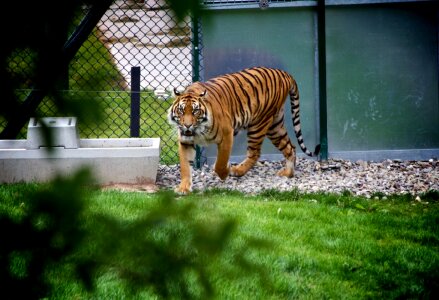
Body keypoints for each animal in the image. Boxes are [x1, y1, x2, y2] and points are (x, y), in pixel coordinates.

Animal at [168, 66, 320, 195]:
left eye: (195, 111)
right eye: (181, 111)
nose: (187, 125)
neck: (198, 130)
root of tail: (284, 73)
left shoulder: (227, 134)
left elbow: (220, 163)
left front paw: (226, 171)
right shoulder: (185, 141)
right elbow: (185, 166)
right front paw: (183, 188)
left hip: (259, 124)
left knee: (255, 153)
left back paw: (237, 171)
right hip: (275, 126)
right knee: (290, 147)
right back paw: (288, 173)